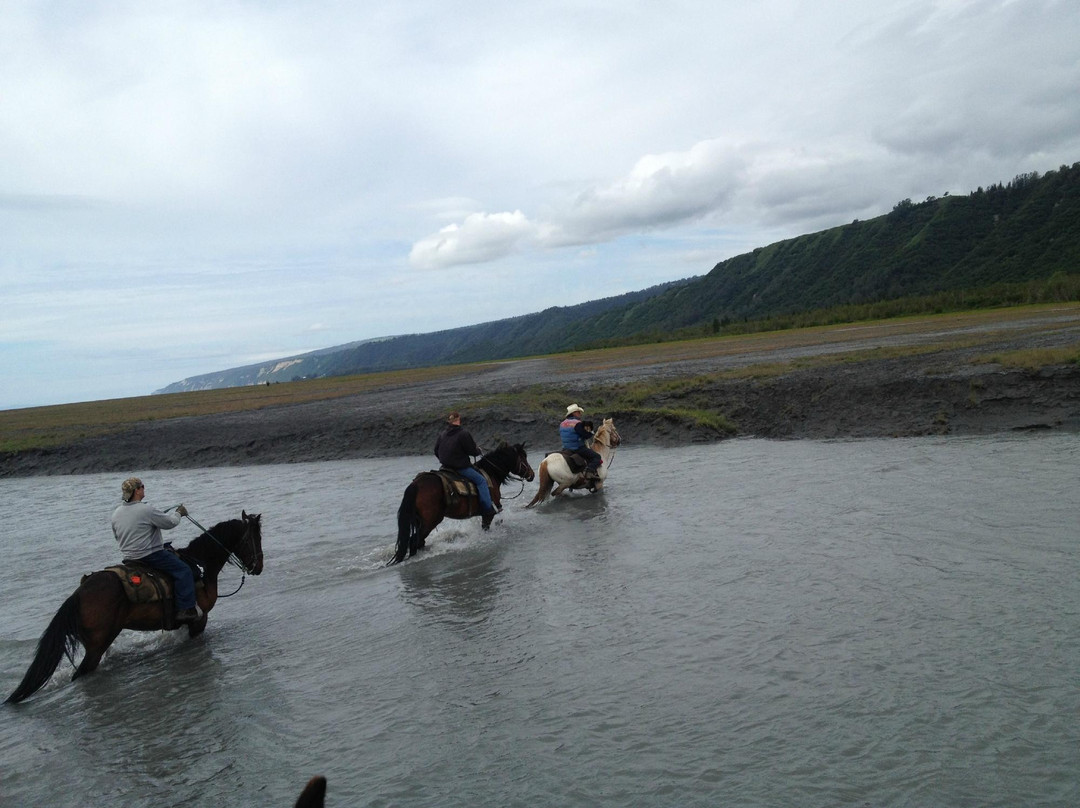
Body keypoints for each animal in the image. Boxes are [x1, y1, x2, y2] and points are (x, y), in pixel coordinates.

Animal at [5, 511, 264, 704]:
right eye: (256, 538)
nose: (259, 566)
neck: (200, 565)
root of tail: (78, 594)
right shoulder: (199, 620)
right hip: (97, 646)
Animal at [390, 441, 534, 565]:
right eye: (523, 457)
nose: (532, 475)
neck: (490, 473)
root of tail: (416, 485)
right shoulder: (489, 514)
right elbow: (486, 528)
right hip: (430, 522)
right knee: (415, 541)